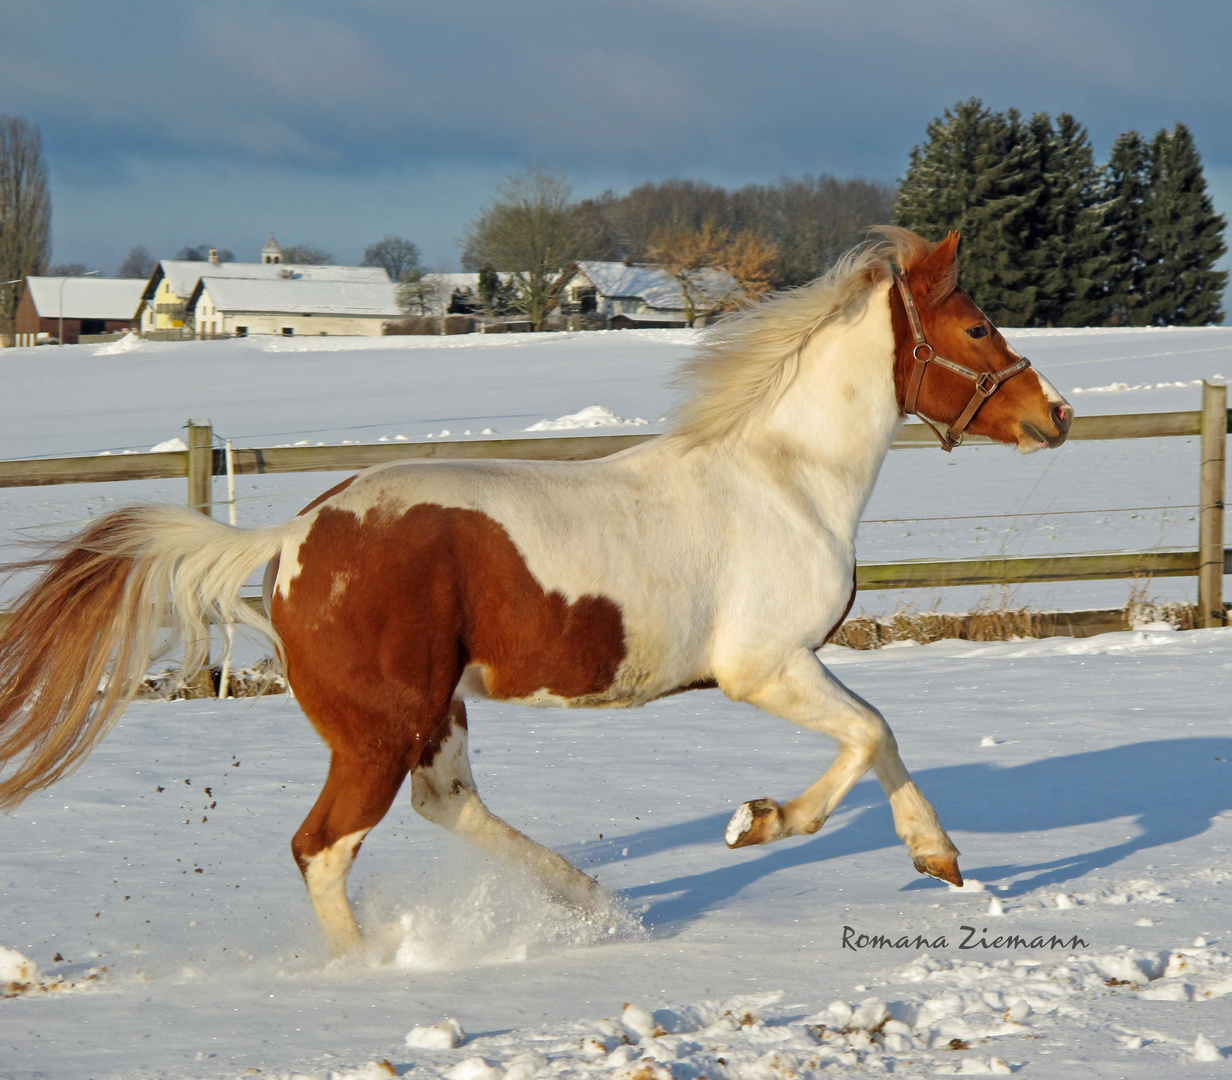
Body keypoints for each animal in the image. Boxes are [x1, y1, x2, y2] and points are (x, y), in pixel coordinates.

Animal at [0, 227, 1069, 950]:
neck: (787, 479)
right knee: (324, 847)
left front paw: (938, 858)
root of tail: (296, 536)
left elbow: (879, 735)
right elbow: (869, 733)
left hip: (431, 714)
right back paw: (369, 975)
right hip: (380, 731)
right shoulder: (763, 666)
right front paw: (759, 823)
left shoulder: (791, 665)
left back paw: (592, 902)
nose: (1053, 414)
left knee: (445, 807)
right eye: (977, 326)